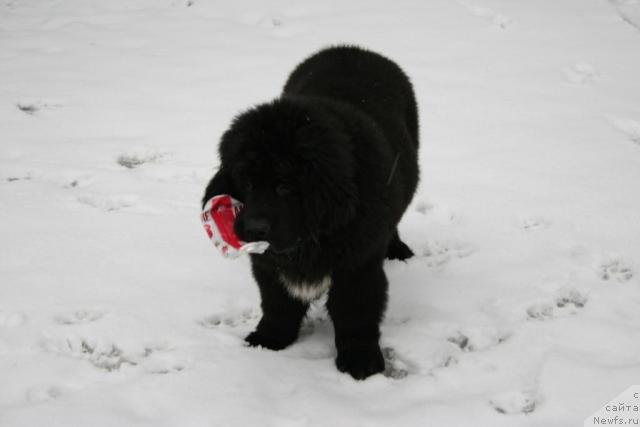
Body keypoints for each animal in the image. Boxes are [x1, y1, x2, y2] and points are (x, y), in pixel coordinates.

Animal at [201, 46, 420, 382]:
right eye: (246, 182)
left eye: (284, 187)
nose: (252, 228)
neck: (307, 239)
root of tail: (350, 48)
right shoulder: (267, 265)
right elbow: (277, 303)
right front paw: (270, 338)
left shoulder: (358, 266)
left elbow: (355, 313)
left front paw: (360, 359)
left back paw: (396, 247)